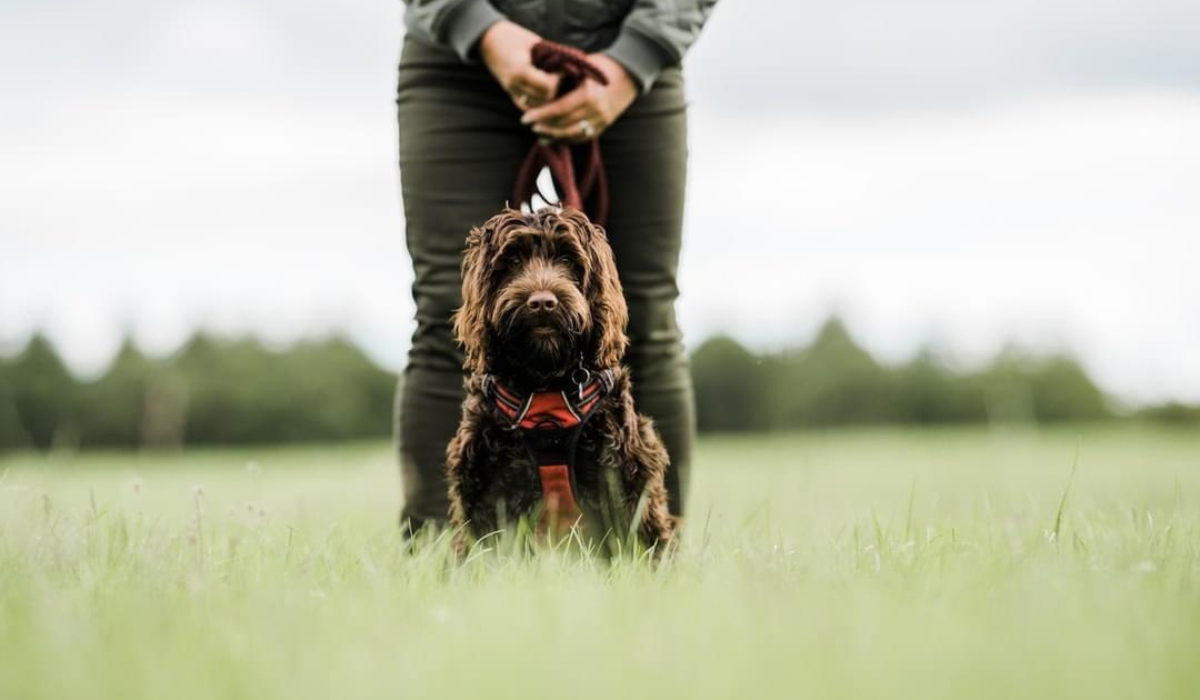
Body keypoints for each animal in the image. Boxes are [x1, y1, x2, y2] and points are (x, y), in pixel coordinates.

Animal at [448, 205, 676, 557]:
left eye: (568, 259)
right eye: (513, 261)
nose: (542, 302)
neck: (545, 382)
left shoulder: (624, 477)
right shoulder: (485, 486)